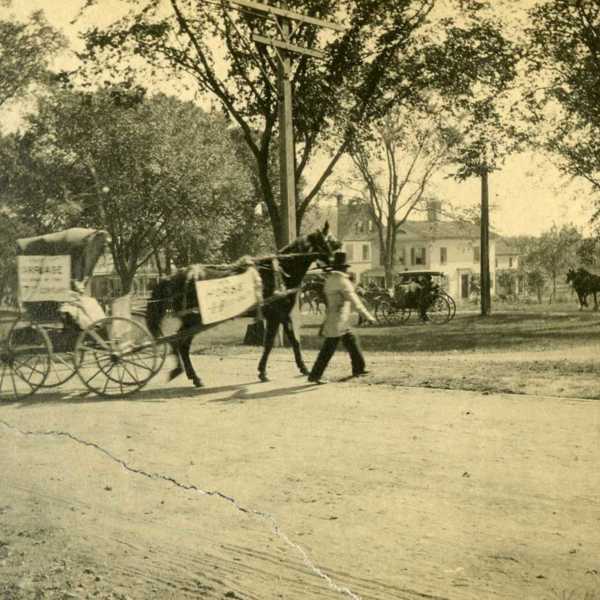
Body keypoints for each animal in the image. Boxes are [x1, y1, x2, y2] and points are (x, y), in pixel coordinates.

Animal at [145, 223, 340, 386]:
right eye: (330, 240)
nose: (339, 259)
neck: (281, 271)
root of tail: (175, 276)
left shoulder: (283, 315)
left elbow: (292, 341)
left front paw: (300, 368)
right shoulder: (276, 316)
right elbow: (270, 343)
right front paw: (265, 372)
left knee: (179, 343)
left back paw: (186, 373)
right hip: (194, 320)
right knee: (181, 344)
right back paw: (192, 376)